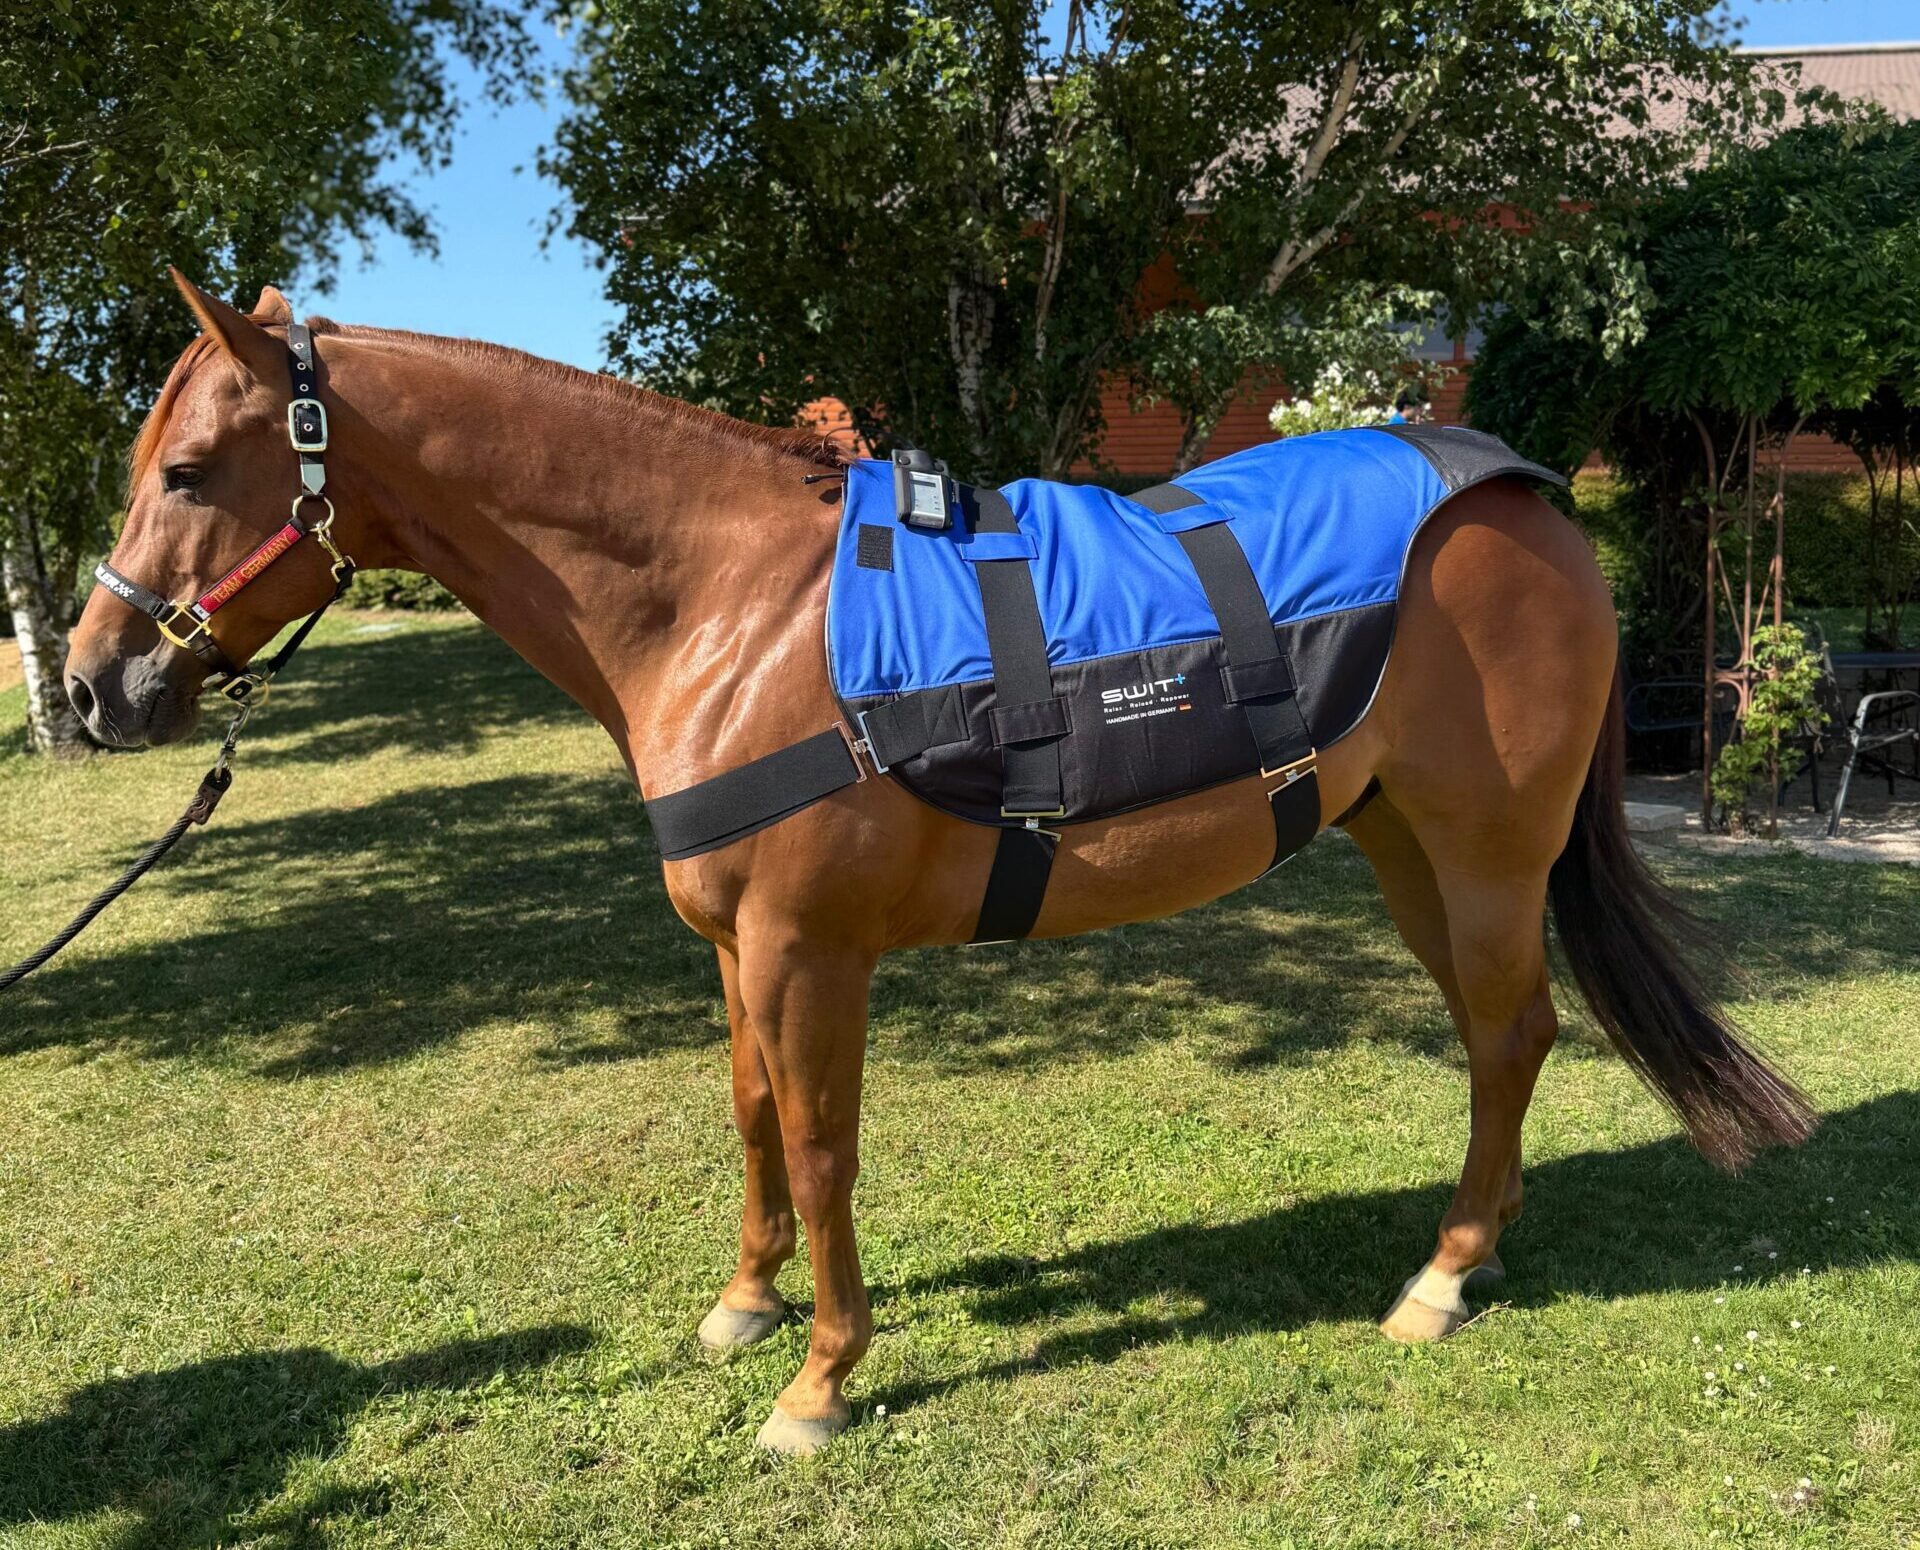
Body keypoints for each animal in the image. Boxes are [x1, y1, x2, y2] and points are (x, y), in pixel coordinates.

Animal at [62, 274, 1815, 1456]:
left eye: (188, 472)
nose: (90, 688)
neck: (730, 603)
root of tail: (1526, 496)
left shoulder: (809, 953)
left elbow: (825, 1146)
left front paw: (819, 1380)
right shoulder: (733, 951)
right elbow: (752, 1120)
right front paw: (746, 1303)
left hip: (1484, 850)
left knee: (1509, 1034)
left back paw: (1442, 1279)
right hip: (1405, 850)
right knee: (1505, 1036)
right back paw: (1480, 1245)